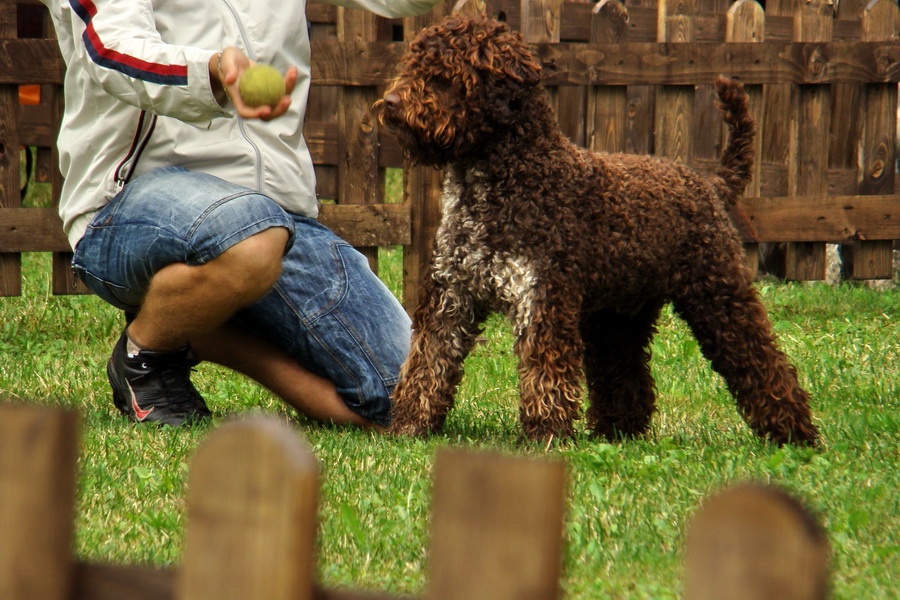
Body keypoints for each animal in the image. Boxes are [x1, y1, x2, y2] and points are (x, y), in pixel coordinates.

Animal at [372, 14, 816, 446]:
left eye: (445, 75)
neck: (509, 180)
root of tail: (709, 183)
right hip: (617, 316)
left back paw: (795, 433)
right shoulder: (450, 297)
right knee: (626, 376)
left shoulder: (542, 300)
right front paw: (409, 427)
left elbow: (544, 376)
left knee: (763, 362)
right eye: (413, 64)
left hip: (720, 296)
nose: (390, 103)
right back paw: (618, 432)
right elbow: (427, 364)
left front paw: (545, 437)